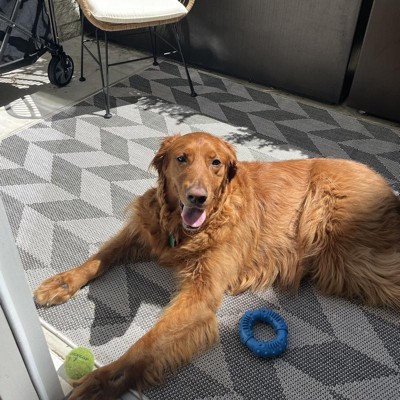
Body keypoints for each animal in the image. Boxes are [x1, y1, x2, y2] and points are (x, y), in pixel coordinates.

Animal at [34, 132, 400, 399]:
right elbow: (100, 257)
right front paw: (61, 283)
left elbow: (146, 345)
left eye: (216, 163)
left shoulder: (201, 292)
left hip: (344, 253)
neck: (187, 229)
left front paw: (103, 381)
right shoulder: (144, 232)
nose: (198, 197)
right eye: (181, 158)